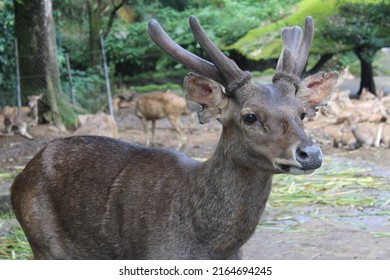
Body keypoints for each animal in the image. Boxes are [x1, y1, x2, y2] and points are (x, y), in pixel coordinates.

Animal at [10, 16, 336, 260]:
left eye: (302, 113)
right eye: (250, 116)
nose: (310, 153)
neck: (210, 249)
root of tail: (20, 177)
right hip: (43, 244)